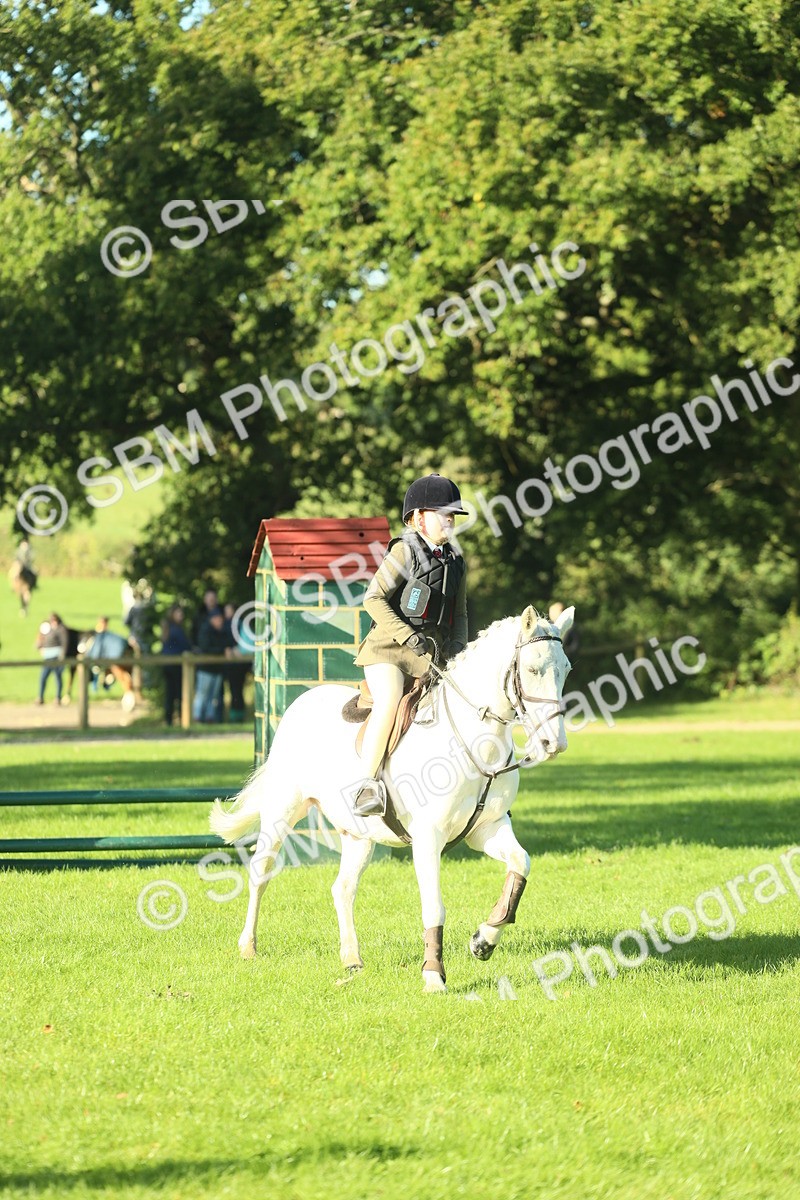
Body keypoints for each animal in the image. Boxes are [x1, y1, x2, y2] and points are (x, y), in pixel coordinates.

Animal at [210, 604, 574, 993]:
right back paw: (248, 946)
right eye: (532, 669)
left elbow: (520, 865)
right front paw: (434, 976)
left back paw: (352, 960)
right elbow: (434, 906)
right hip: (283, 810)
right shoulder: (428, 837)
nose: (554, 744)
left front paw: (484, 941)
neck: (476, 740)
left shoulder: (487, 829)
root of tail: (301, 701)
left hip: (358, 835)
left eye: (567, 669)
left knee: (343, 889)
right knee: (261, 871)